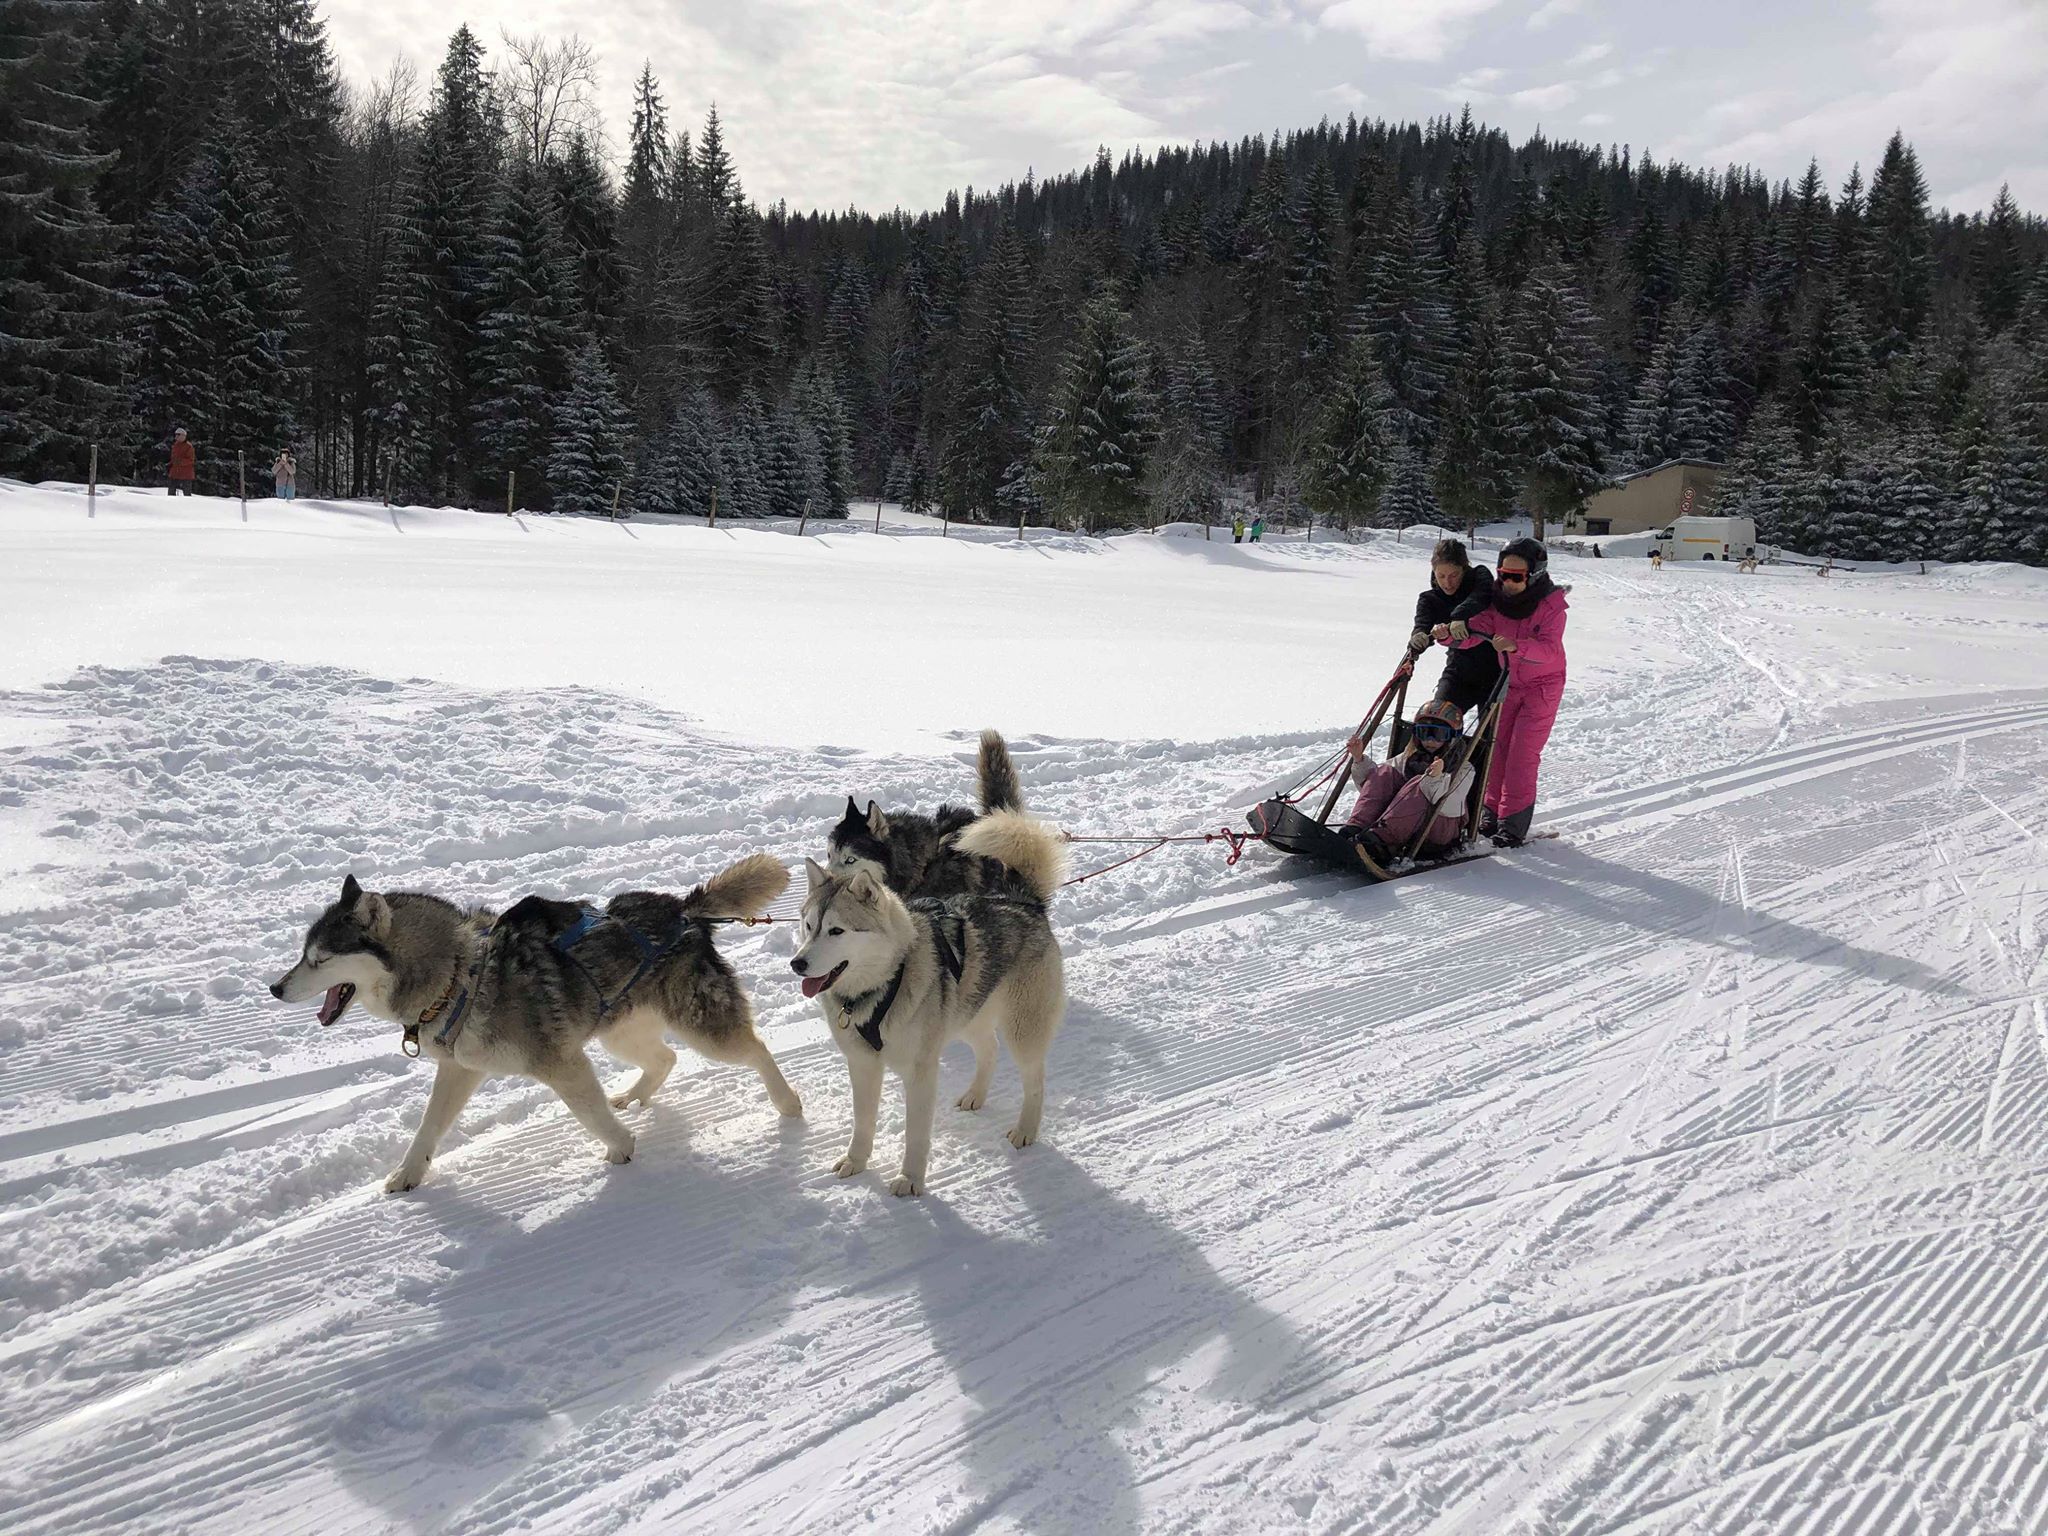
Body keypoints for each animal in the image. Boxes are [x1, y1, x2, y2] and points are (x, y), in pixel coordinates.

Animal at [270, 860, 806, 1196]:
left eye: (319, 959)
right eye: (303, 954)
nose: (274, 988)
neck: (460, 974)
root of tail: (684, 909)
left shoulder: (560, 1061)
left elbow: (589, 1113)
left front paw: (621, 1147)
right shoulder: (460, 1069)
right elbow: (428, 1127)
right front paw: (408, 1174)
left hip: (699, 1027)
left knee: (756, 1048)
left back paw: (787, 1102)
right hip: (617, 1032)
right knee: (666, 1058)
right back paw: (635, 1094)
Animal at [786, 811, 1064, 1196]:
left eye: (836, 931)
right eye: (808, 925)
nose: (797, 963)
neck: (885, 982)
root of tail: (1024, 902)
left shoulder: (919, 1072)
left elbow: (915, 1134)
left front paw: (910, 1179)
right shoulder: (862, 1065)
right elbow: (862, 1122)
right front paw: (857, 1161)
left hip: (1022, 1031)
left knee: (1034, 1081)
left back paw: (1025, 1129)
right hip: (967, 1015)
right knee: (989, 1050)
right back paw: (975, 1095)